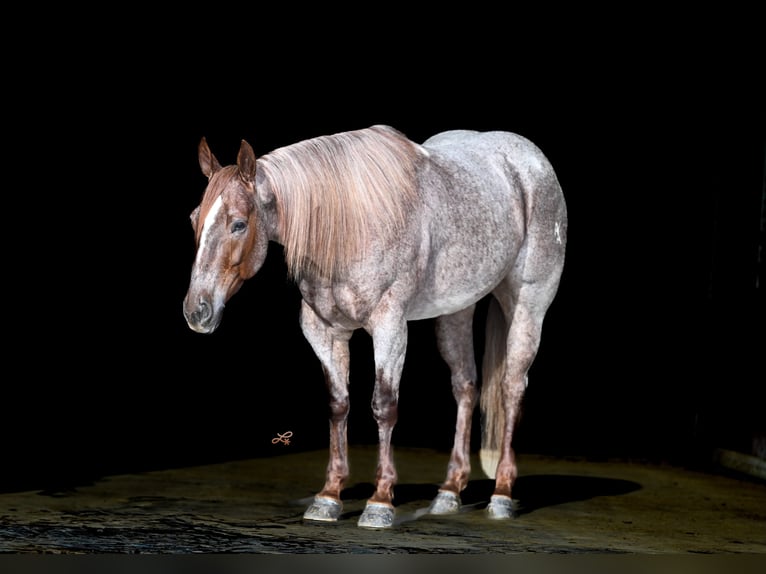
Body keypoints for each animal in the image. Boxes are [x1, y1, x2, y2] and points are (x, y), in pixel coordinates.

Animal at [182, 125, 567, 528]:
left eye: (238, 224)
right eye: (194, 218)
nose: (197, 311)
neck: (348, 224)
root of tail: (529, 159)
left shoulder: (389, 326)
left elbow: (383, 404)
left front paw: (380, 502)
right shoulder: (325, 331)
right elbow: (338, 404)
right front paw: (328, 496)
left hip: (528, 304)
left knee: (512, 387)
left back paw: (502, 495)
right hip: (456, 310)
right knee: (465, 386)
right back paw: (449, 491)